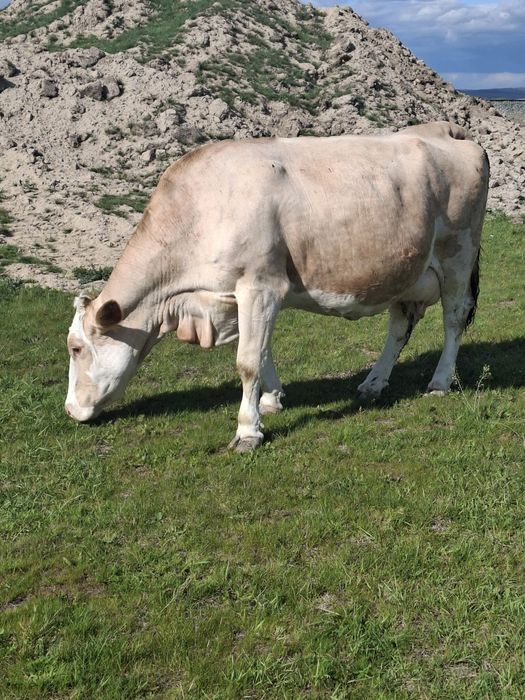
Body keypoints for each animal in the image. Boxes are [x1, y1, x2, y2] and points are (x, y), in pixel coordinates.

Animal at [65, 122, 489, 451]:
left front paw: (248, 431)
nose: (70, 410)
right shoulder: (235, 298)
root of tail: (446, 130)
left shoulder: (260, 287)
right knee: (399, 328)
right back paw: (373, 383)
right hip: (405, 270)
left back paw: (439, 382)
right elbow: (260, 351)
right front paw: (271, 400)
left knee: (453, 320)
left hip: (457, 256)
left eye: (76, 348)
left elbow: (248, 360)